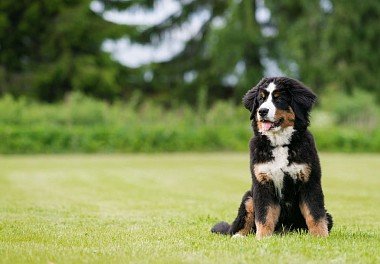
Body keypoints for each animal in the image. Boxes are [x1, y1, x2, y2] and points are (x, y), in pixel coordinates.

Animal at [211, 76, 332, 239]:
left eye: (279, 98)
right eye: (261, 99)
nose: (262, 111)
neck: (280, 144)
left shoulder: (309, 181)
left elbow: (315, 214)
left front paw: (320, 237)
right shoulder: (263, 183)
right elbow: (264, 216)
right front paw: (262, 238)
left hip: (328, 215)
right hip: (249, 198)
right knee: (238, 226)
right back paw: (239, 236)